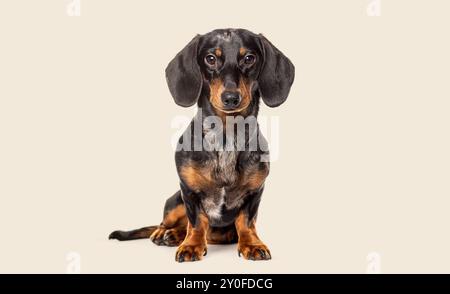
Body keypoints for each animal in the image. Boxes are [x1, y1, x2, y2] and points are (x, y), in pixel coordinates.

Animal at [109, 28, 296, 262]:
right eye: (211, 58)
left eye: (249, 58)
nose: (231, 98)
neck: (226, 135)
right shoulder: (188, 191)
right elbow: (197, 222)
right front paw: (191, 246)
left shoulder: (255, 191)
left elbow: (246, 221)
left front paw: (252, 244)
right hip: (174, 202)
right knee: (168, 222)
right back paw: (165, 233)